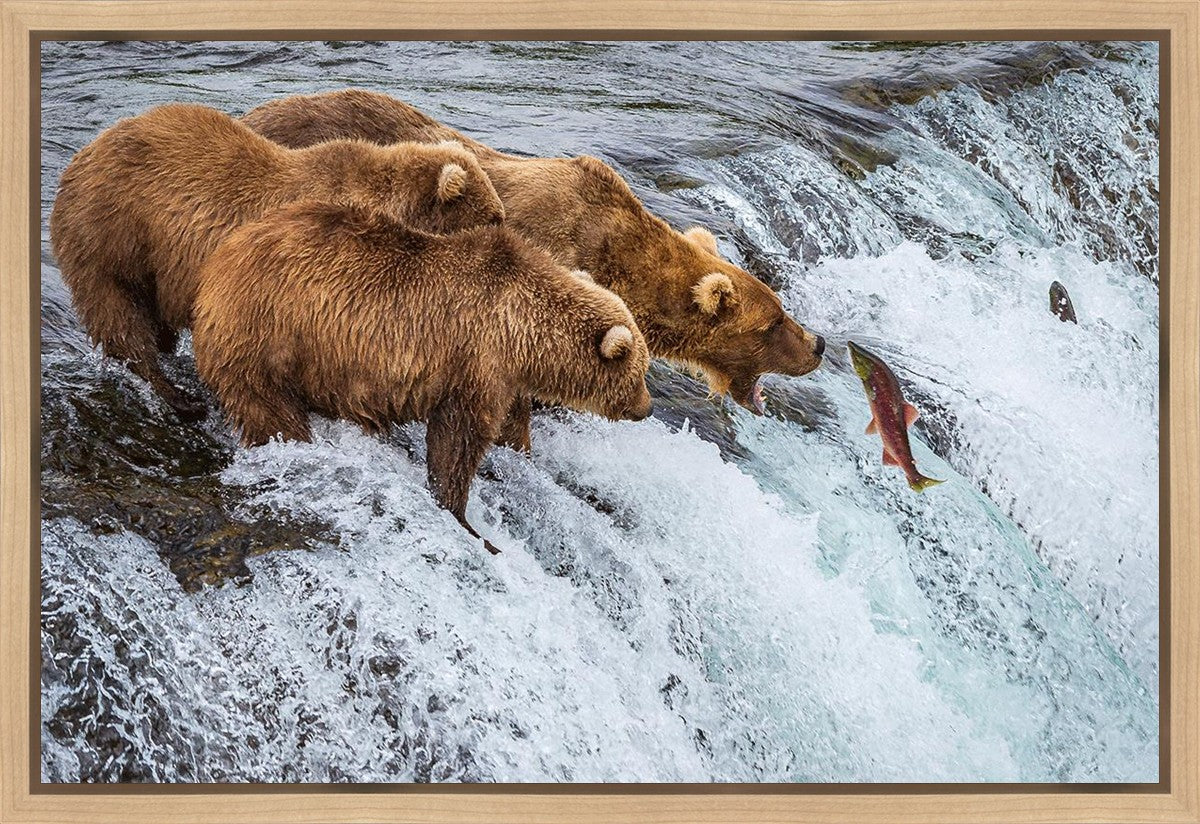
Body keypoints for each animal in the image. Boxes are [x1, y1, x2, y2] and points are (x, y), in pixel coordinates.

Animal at [49, 102, 505, 421]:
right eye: (494, 216)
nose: (506, 231)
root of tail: (81, 155)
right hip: (112, 235)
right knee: (120, 316)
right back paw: (178, 396)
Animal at [192, 199, 653, 554]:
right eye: (640, 372)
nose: (647, 408)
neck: (523, 331)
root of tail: (217, 263)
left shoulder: (505, 378)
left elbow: (509, 426)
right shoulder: (475, 360)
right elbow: (457, 440)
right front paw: (467, 520)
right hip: (267, 334)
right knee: (269, 409)